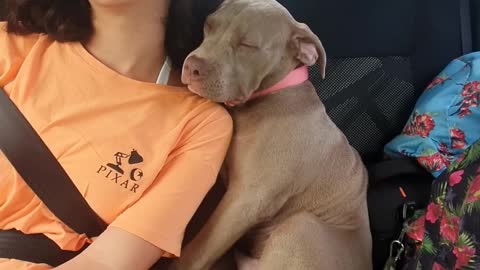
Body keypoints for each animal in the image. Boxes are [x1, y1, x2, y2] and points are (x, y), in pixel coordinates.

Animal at [171, 0, 374, 270]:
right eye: (209, 25)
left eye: (247, 45)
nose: (192, 65)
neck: (273, 95)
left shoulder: (246, 201)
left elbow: (199, 250)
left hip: (300, 226)